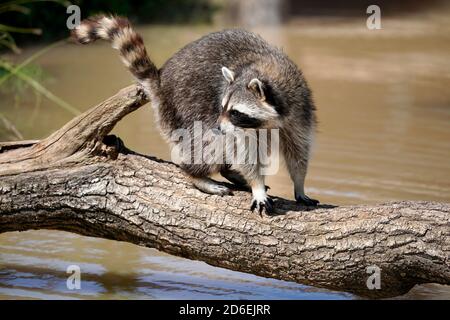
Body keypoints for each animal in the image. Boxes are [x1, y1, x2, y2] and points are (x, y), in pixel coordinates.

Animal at [72, 15, 318, 215]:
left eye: (235, 112)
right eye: (222, 107)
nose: (219, 126)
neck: (263, 72)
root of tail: (161, 86)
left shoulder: (298, 108)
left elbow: (298, 148)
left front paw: (299, 183)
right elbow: (242, 149)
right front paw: (257, 186)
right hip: (184, 108)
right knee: (208, 143)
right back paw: (195, 174)